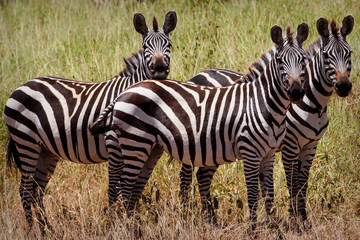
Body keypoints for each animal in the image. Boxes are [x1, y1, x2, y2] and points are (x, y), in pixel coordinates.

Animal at [3, 10, 176, 232]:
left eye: (168, 45)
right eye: (145, 46)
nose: (160, 68)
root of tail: (22, 85)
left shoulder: (149, 149)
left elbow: (136, 190)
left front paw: (132, 225)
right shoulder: (114, 145)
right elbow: (115, 191)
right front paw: (115, 226)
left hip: (45, 149)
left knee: (37, 189)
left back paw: (46, 229)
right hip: (26, 141)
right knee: (25, 190)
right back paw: (33, 230)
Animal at [90, 23, 310, 228]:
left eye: (303, 60)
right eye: (280, 61)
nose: (296, 92)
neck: (262, 102)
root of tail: (125, 91)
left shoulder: (269, 154)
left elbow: (269, 194)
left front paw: (273, 229)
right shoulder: (250, 152)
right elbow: (254, 195)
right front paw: (254, 231)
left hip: (149, 146)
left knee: (132, 188)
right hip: (135, 142)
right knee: (125, 188)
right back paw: (127, 228)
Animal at [179, 15, 352, 227]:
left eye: (350, 54)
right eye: (327, 56)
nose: (344, 87)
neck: (314, 104)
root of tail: (198, 74)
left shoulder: (311, 145)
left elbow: (303, 183)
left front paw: (303, 220)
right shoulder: (289, 145)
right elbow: (292, 183)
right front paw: (294, 221)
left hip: (213, 147)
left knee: (203, 175)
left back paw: (211, 220)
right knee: (186, 175)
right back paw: (186, 214)